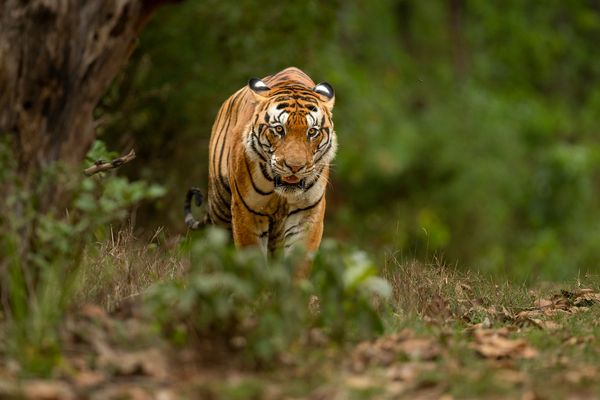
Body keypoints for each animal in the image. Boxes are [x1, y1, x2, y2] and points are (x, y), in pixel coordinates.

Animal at [183, 67, 336, 264]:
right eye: (279, 129)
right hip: (220, 205)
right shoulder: (247, 211)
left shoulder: (307, 214)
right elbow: (251, 257)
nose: (295, 167)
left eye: (312, 132)